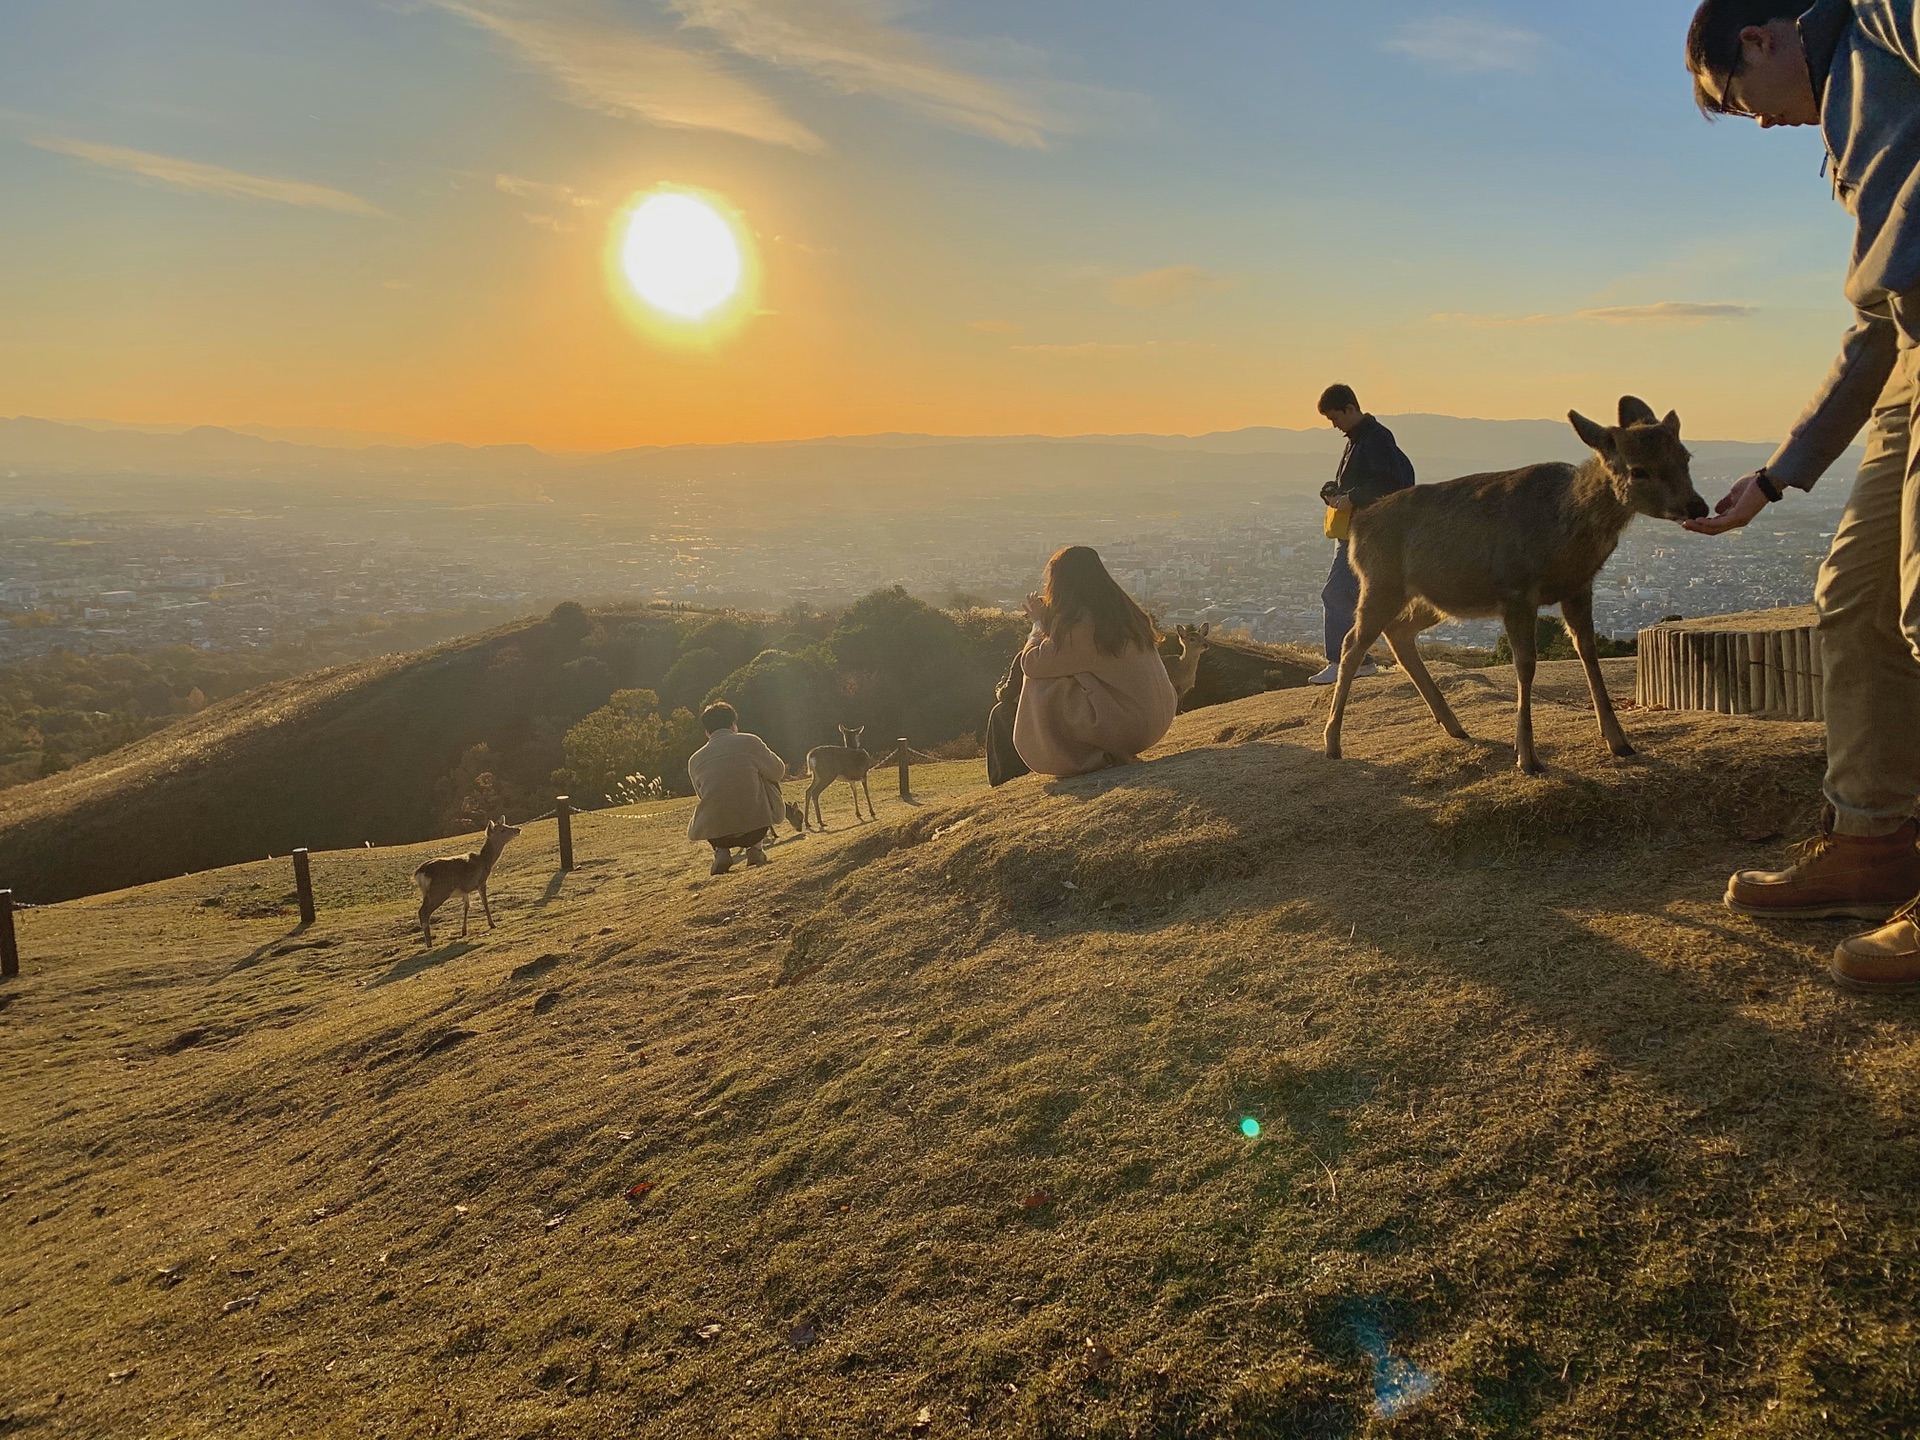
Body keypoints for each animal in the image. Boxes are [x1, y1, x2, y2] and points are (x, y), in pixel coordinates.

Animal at [410, 817, 518, 952]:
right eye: (502, 830)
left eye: (506, 825)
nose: (518, 829)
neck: (486, 861)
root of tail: (419, 873)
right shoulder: (481, 881)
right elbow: (485, 902)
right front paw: (492, 924)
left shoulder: (465, 889)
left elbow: (466, 907)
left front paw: (464, 931)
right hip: (439, 891)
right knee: (424, 912)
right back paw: (429, 944)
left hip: (427, 893)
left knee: (421, 911)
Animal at [1320, 395, 1712, 779]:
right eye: (1638, 469)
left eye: (1685, 456)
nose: (1697, 505)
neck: (1564, 529)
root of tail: (1358, 529)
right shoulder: (1516, 588)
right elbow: (1525, 663)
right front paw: (1527, 757)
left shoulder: (1579, 586)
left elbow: (1588, 652)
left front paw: (1620, 742)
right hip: (1380, 580)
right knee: (1353, 642)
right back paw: (1333, 742)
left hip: (1436, 597)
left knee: (1398, 632)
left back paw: (1453, 725)